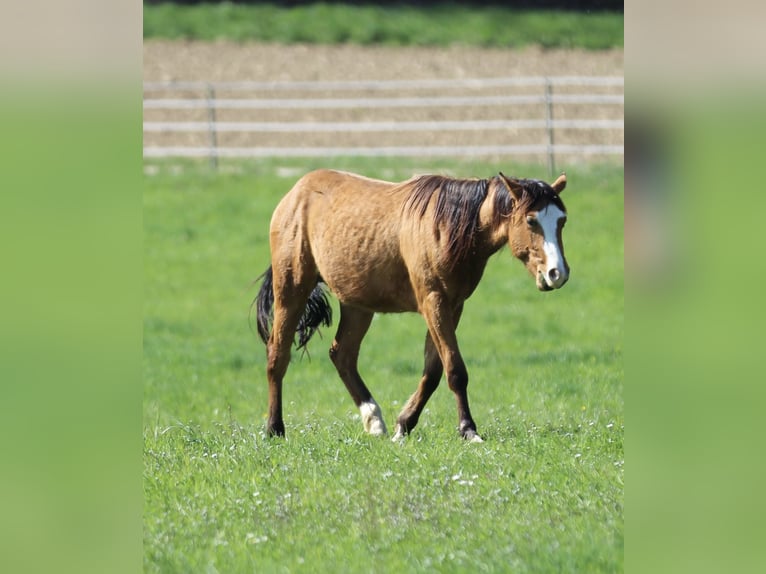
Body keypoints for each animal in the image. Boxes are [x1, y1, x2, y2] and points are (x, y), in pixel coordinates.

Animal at [254, 169, 568, 442]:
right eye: (531, 221)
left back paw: (374, 420)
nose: (558, 273)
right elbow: (455, 369)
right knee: (277, 355)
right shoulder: (434, 301)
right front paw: (468, 429)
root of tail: (295, 194)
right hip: (291, 290)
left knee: (342, 355)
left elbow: (434, 370)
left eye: (562, 220)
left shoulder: (452, 306)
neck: (449, 225)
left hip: (358, 304)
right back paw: (275, 428)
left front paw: (404, 424)